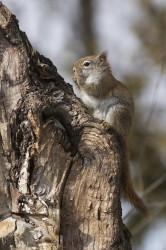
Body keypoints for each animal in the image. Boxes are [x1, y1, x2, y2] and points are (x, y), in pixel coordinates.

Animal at [72, 51, 149, 216]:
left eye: (86, 64)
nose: (73, 69)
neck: (96, 73)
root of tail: (125, 135)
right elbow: (87, 99)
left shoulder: (104, 83)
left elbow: (95, 90)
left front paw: (79, 80)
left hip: (118, 111)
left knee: (116, 128)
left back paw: (109, 126)